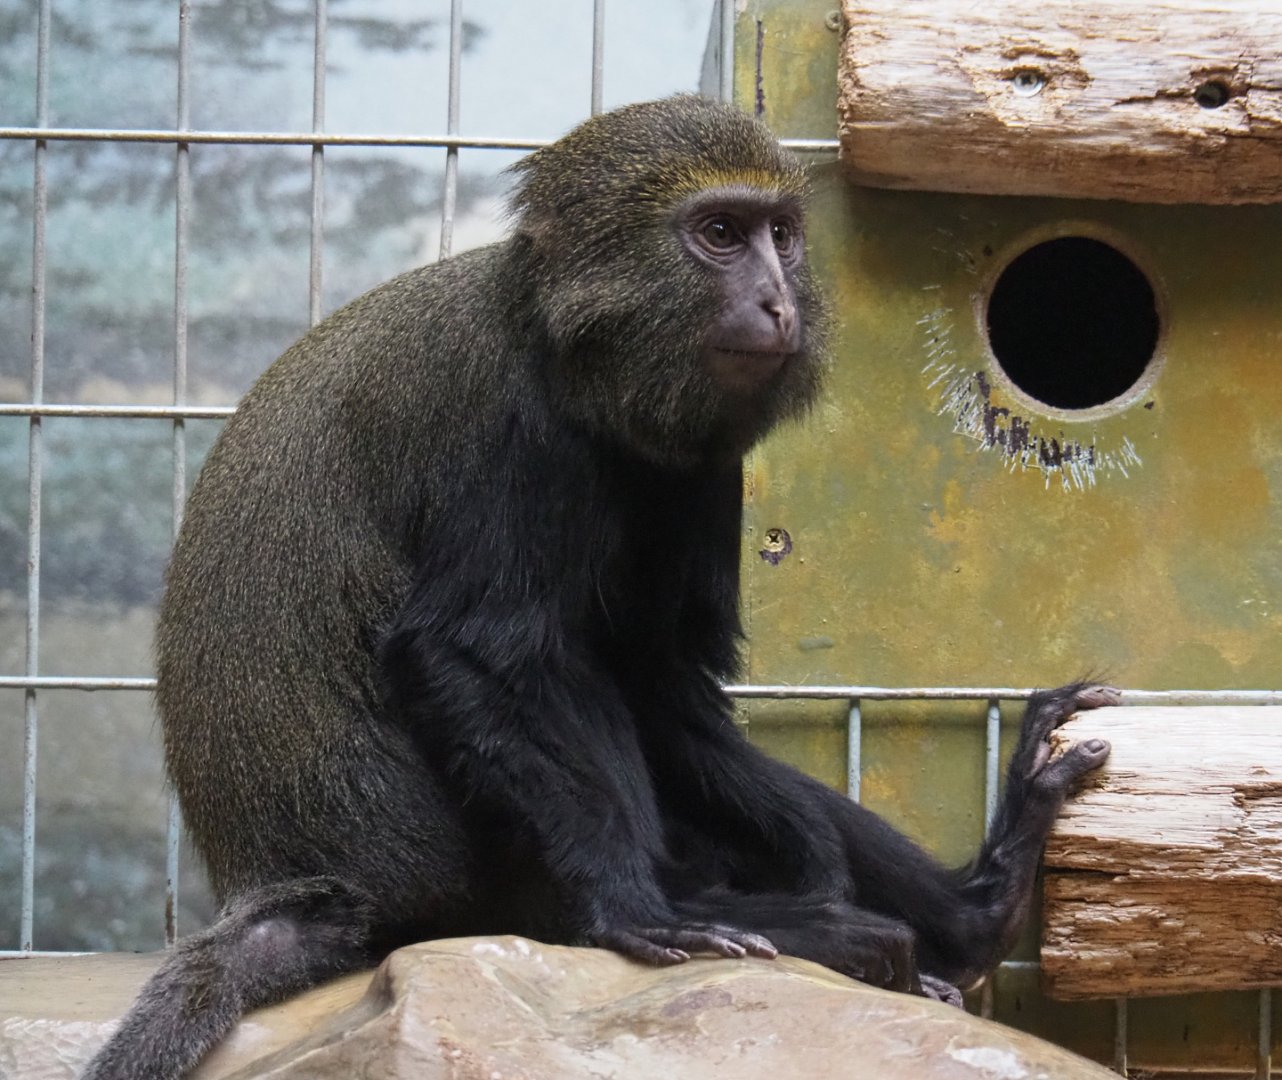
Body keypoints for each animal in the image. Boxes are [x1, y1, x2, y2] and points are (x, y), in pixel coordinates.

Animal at [82, 95, 1113, 1080]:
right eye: (720, 234)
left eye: (781, 234)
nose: (778, 301)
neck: (574, 351)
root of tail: (311, 883)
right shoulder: (516, 430)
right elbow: (468, 649)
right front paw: (632, 912)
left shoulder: (703, 467)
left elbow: (660, 678)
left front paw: (813, 848)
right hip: (464, 864)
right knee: (558, 687)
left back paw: (974, 909)